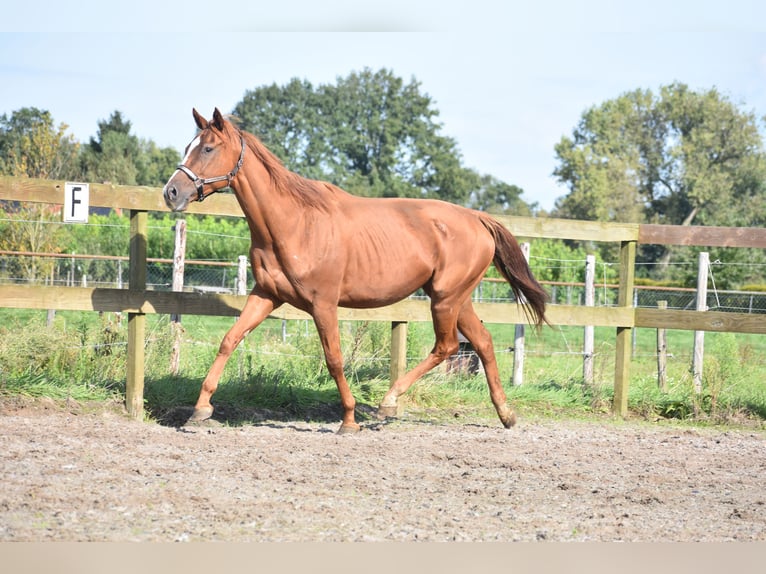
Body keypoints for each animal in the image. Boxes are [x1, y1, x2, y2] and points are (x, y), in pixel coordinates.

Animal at [162, 108, 548, 434]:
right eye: (188, 146)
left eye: (208, 148)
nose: (172, 192)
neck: (293, 224)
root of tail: (477, 218)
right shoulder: (266, 295)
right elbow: (229, 340)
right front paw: (200, 410)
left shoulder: (323, 303)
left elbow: (333, 358)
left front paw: (348, 420)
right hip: (456, 298)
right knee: (481, 342)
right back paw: (506, 415)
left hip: (445, 299)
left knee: (448, 345)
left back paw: (387, 403)